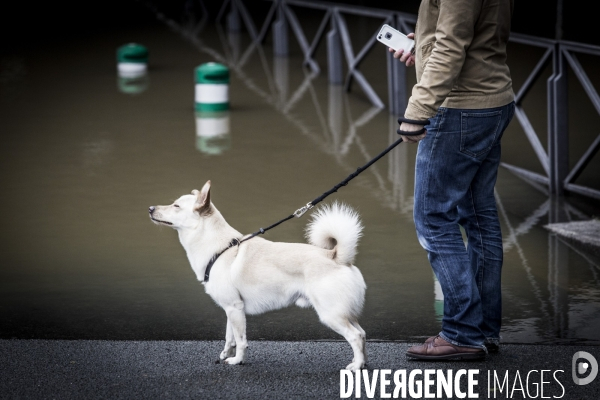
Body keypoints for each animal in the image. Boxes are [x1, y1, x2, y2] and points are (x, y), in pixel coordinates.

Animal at [148, 180, 368, 368]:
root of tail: (336, 256)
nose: (150, 208)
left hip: (331, 315)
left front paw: (237, 360)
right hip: (345, 313)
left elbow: (240, 340)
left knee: (355, 337)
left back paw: (356, 366)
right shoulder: (230, 308)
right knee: (362, 333)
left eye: (176, 206)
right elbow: (229, 337)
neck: (220, 249)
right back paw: (362, 363)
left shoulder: (235, 308)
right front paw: (226, 354)